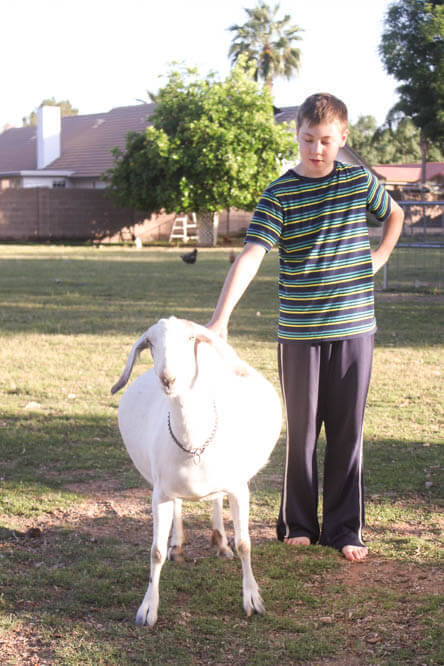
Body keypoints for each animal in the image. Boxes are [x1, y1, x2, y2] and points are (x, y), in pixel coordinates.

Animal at [110, 320, 280, 624]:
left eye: (190, 339)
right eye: (150, 343)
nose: (168, 379)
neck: (193, 443)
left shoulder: (240, 489)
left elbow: (245, 543)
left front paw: (252, 600)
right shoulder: (160, 493)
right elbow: (155, 551)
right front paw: (148, 609)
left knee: (216, 500)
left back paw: (221, 543)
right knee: (180, 506)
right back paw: (177, 545)